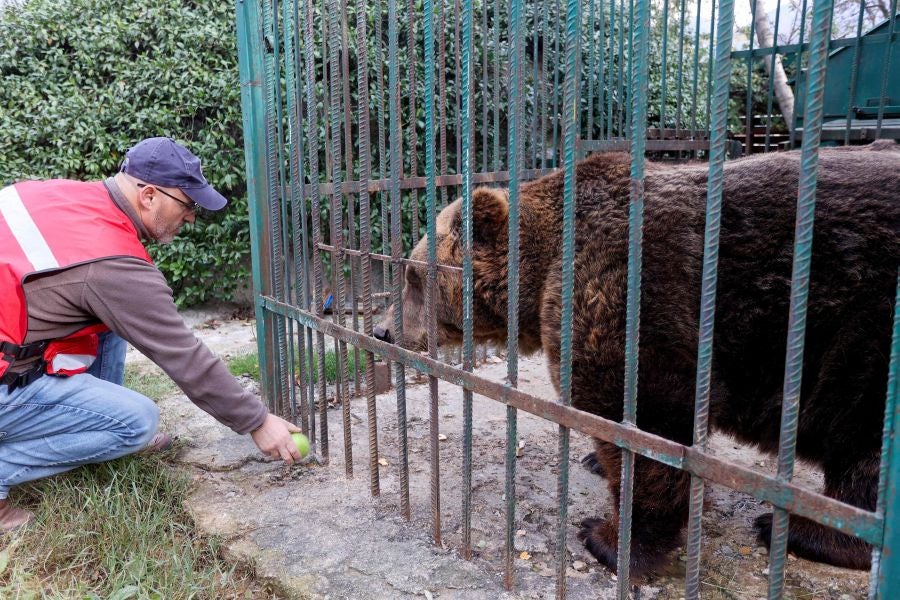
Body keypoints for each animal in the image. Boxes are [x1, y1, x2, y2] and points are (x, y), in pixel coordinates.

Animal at [373, 141, 900, 578]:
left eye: (413, 275)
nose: (381, 329)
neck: (542, 274)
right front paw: (593, 461)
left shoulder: (624, 292)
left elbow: (647, 424)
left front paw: (606, 537)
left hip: (861, 325)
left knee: (861, 439)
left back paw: (800, 530)